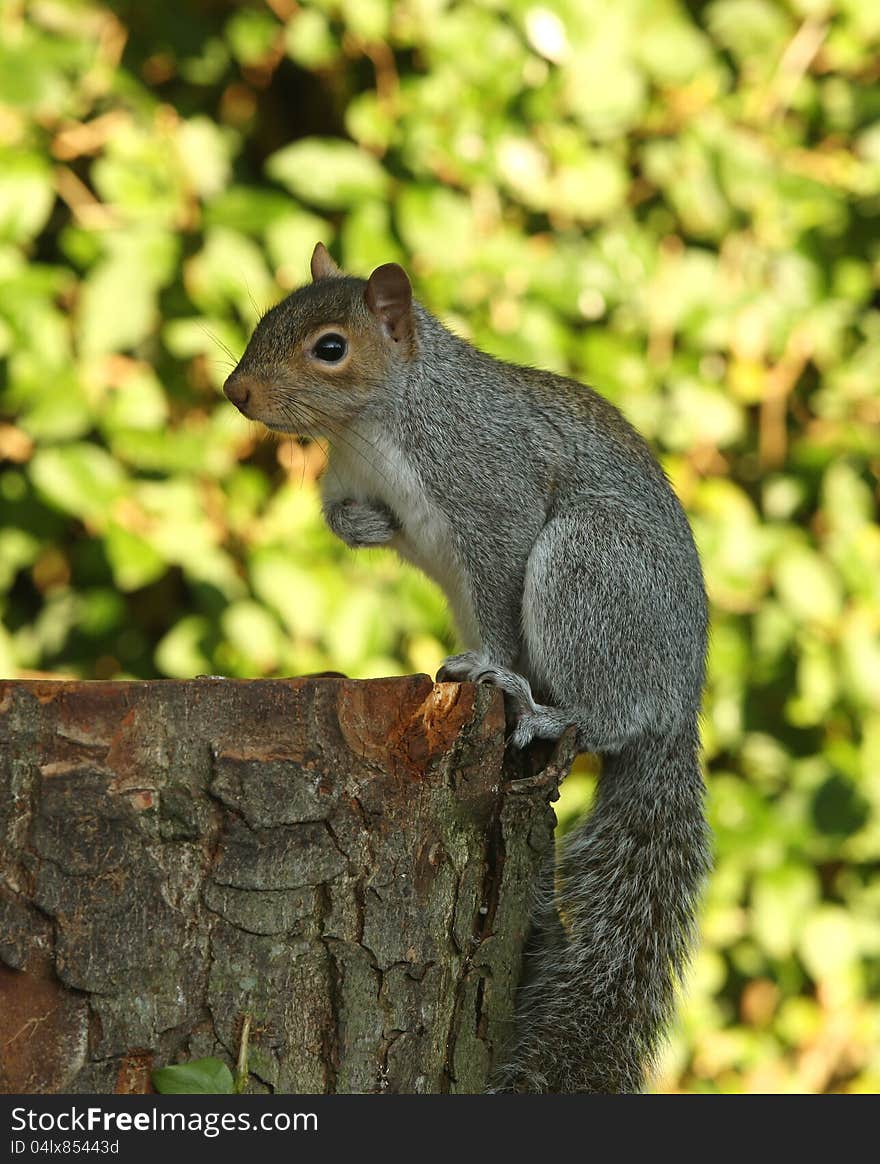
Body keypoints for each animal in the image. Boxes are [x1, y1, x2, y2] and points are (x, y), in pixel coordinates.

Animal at [223, 243, 712, 1089]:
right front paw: (361, 524)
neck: (375, 428)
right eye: (265, 319)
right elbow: (348, 518)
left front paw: (491, 666)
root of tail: (679, 710)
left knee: (608, 717)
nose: (236, 391)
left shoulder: (493, 494)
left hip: (593, 572)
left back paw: (539, 705)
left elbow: (499, 586)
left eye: (330, 347)